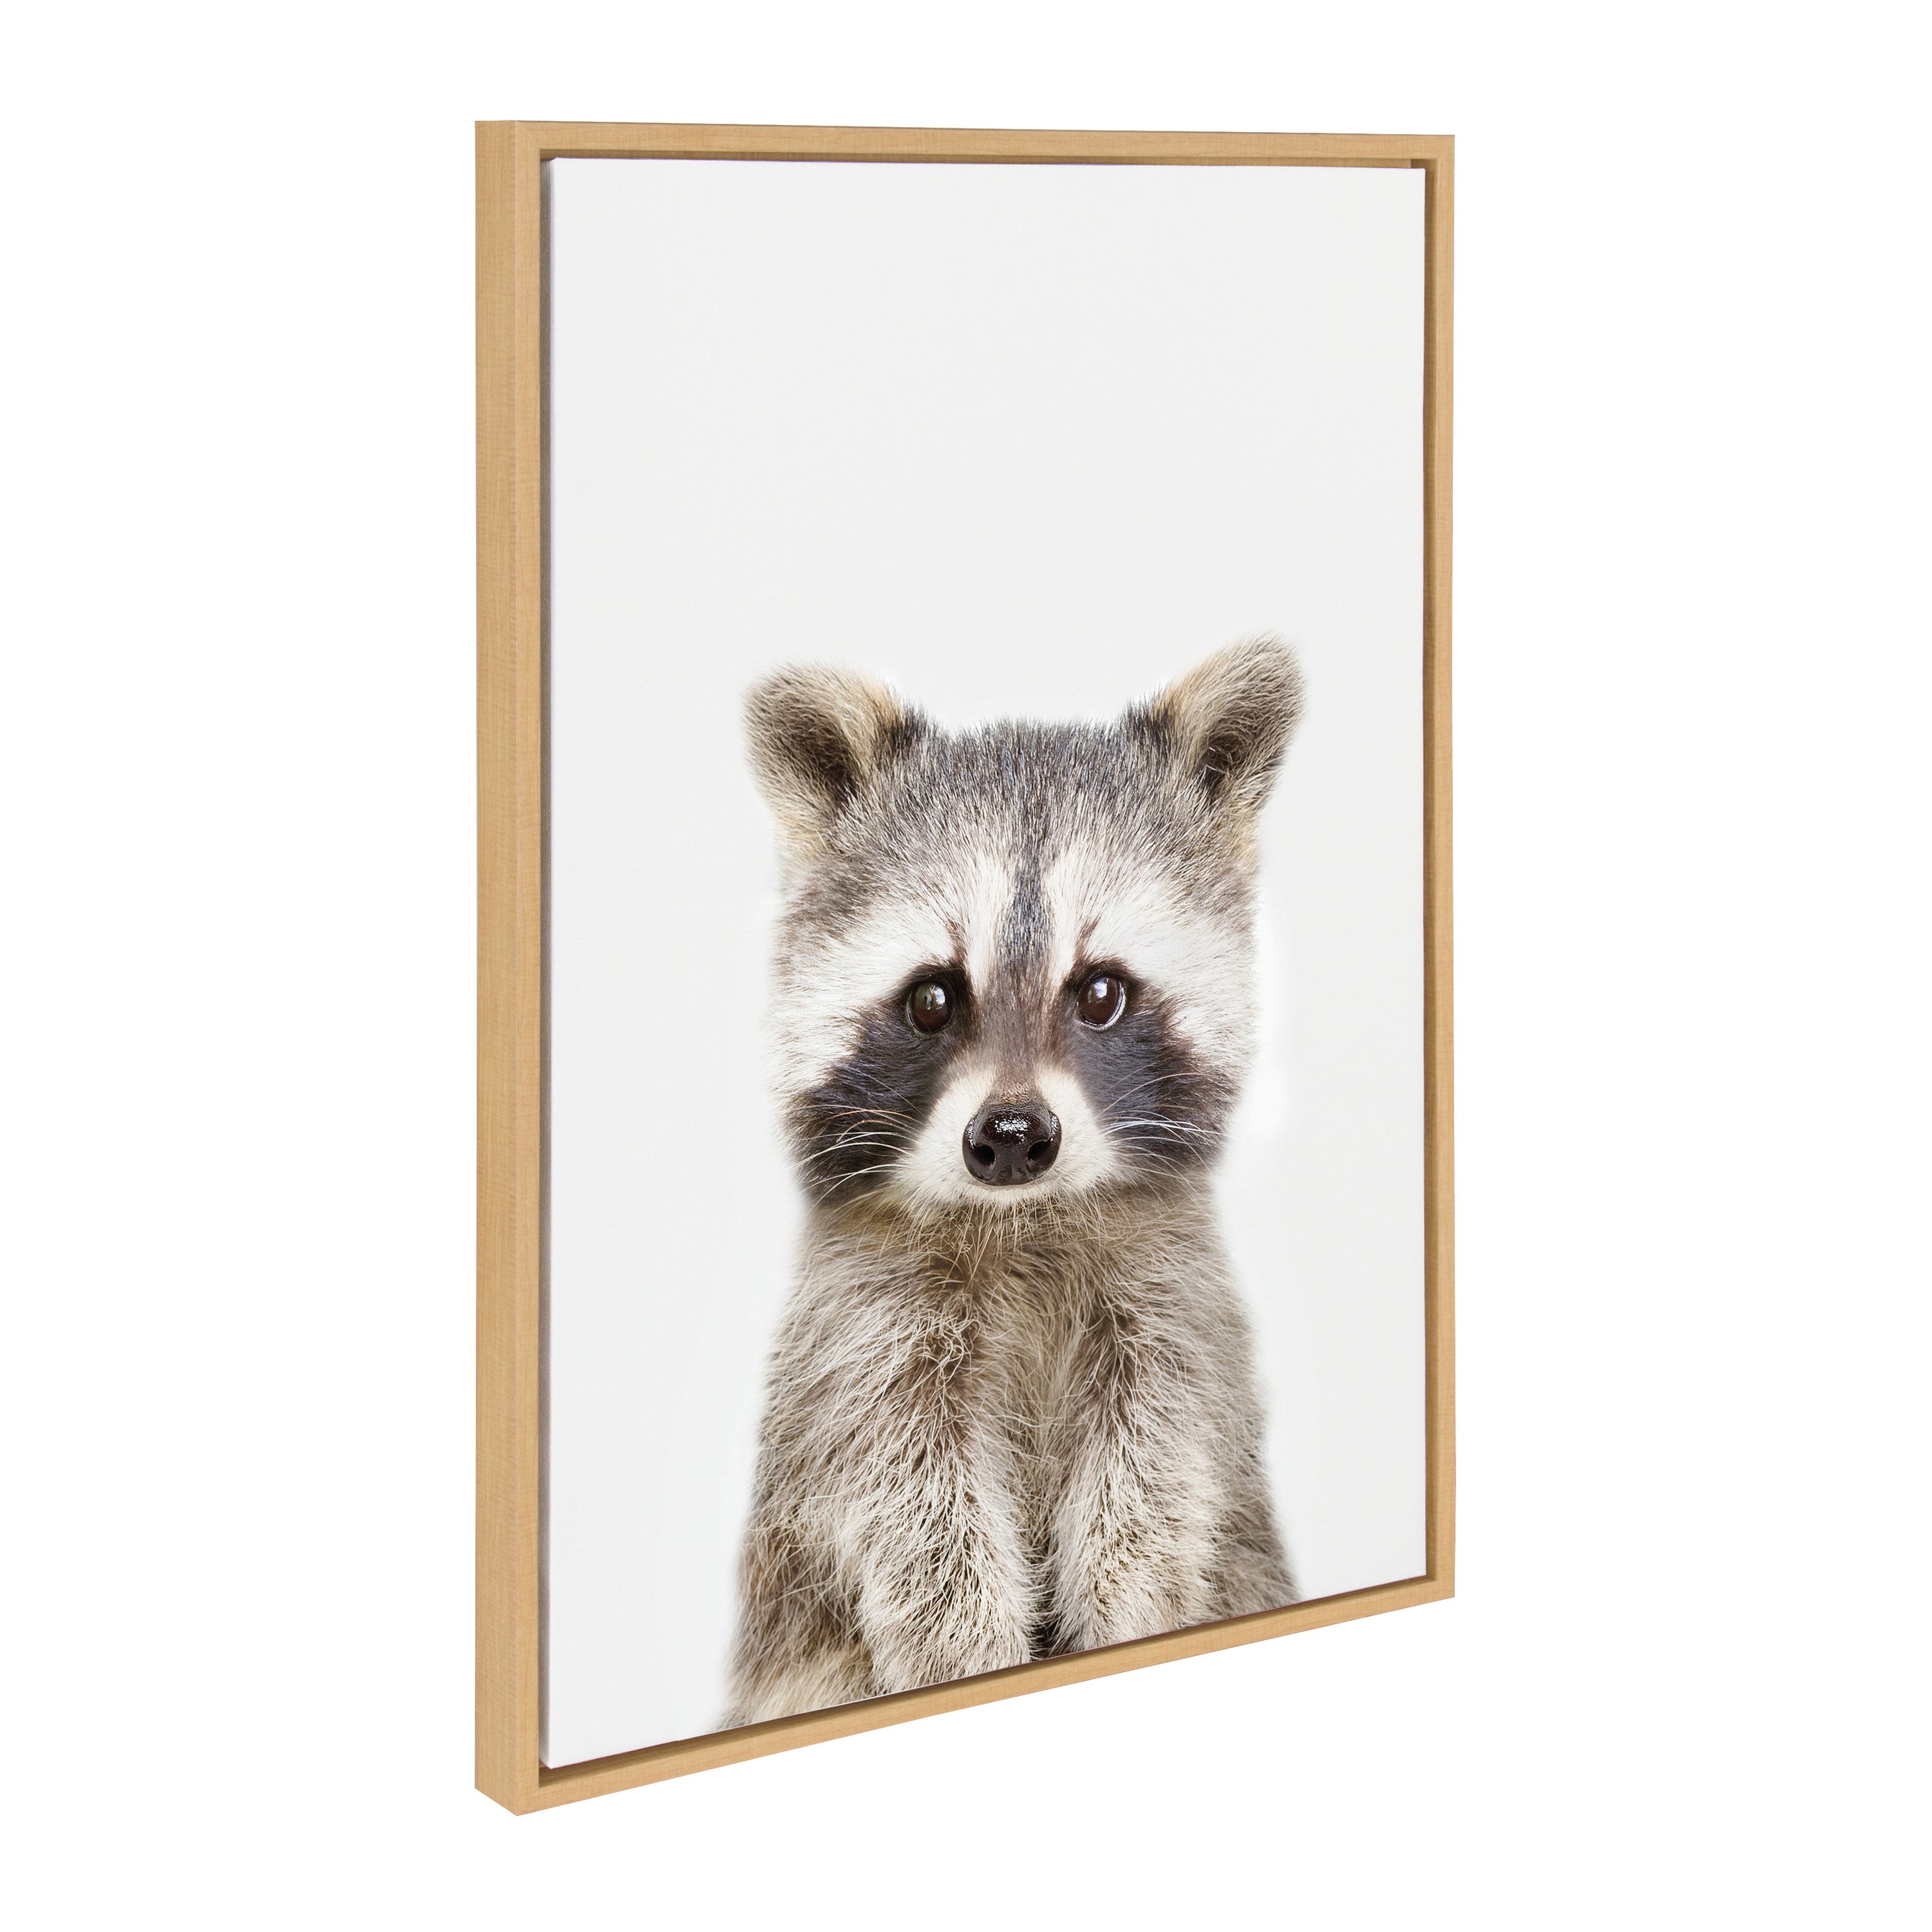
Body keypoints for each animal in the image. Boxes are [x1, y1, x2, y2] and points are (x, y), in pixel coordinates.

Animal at [724, 639, 1302, 1728]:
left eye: (1102, 990)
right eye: (932, 998)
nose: (1011, 1138)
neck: (1024, 1220)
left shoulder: (1171, 1308)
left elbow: (1154, 1480)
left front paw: (1127, 1610)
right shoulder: (862, 1335)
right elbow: (916, 1512)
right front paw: (967, 1654)